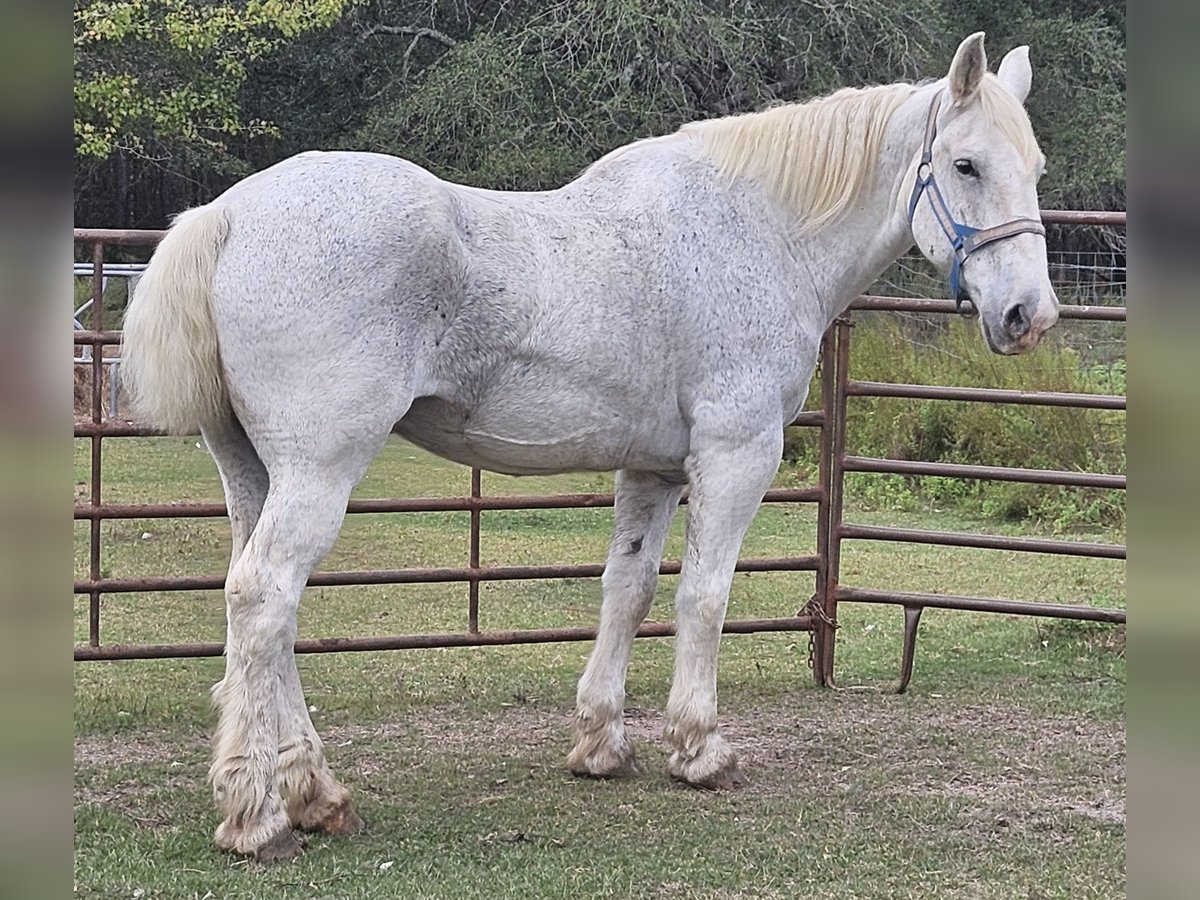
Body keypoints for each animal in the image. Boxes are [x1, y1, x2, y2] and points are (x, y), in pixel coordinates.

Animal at [120, 33, 1059, 861]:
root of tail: (230, 213)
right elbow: (704, 597)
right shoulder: (736, 455)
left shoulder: (653, 468)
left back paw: (314, 793)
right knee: (265, 598)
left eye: (1036, 169)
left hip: (253, 472)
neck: (763, 233)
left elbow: (628, 591)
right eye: (967, 166)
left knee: (261, 613)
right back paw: (258, 818)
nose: (1029, 316)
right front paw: (698, 748)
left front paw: (602, 743)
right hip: (318, 471)